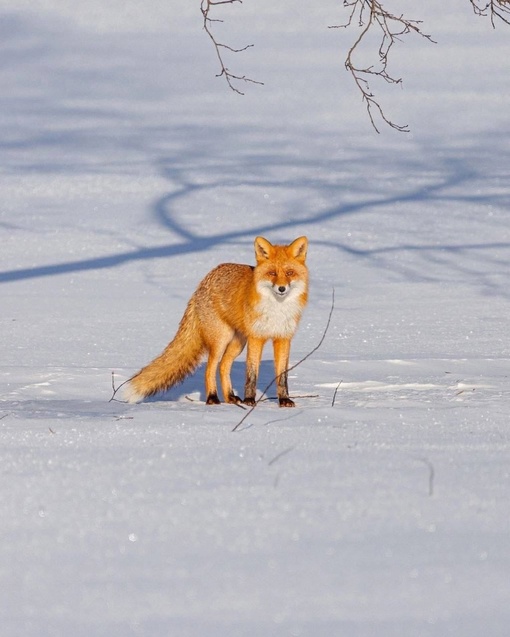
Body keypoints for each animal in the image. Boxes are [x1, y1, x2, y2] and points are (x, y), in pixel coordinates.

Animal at [125, 235, 308, 408]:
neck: (277, 309)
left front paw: (284, 400)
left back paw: (230, 397)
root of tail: (202, 283)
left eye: (289, 273)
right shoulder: (256, 338)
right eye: (272, 273)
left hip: (237, 343)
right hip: (221, 341)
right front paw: (250, 400)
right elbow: (251, 374)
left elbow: (282, 376)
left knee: (223, 366)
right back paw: (212, 398)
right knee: (210, 368)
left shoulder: (283, 338)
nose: (281, 288)